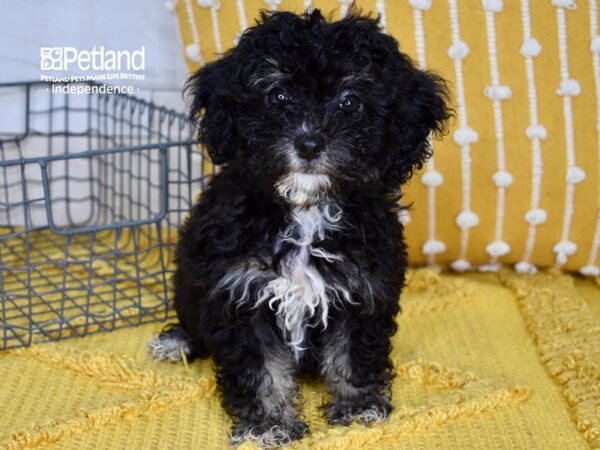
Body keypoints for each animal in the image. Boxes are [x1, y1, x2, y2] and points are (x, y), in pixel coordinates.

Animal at [150, 8, 450, 448]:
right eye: (278, 96)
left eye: (350, 102)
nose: (309, 144)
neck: (305, 210)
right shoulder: (240, 293)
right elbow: (261, 369)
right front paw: (268, 424)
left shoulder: (363, 288)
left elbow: (353, 351)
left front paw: (358, 405)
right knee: (192, 320)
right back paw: (177, 341)